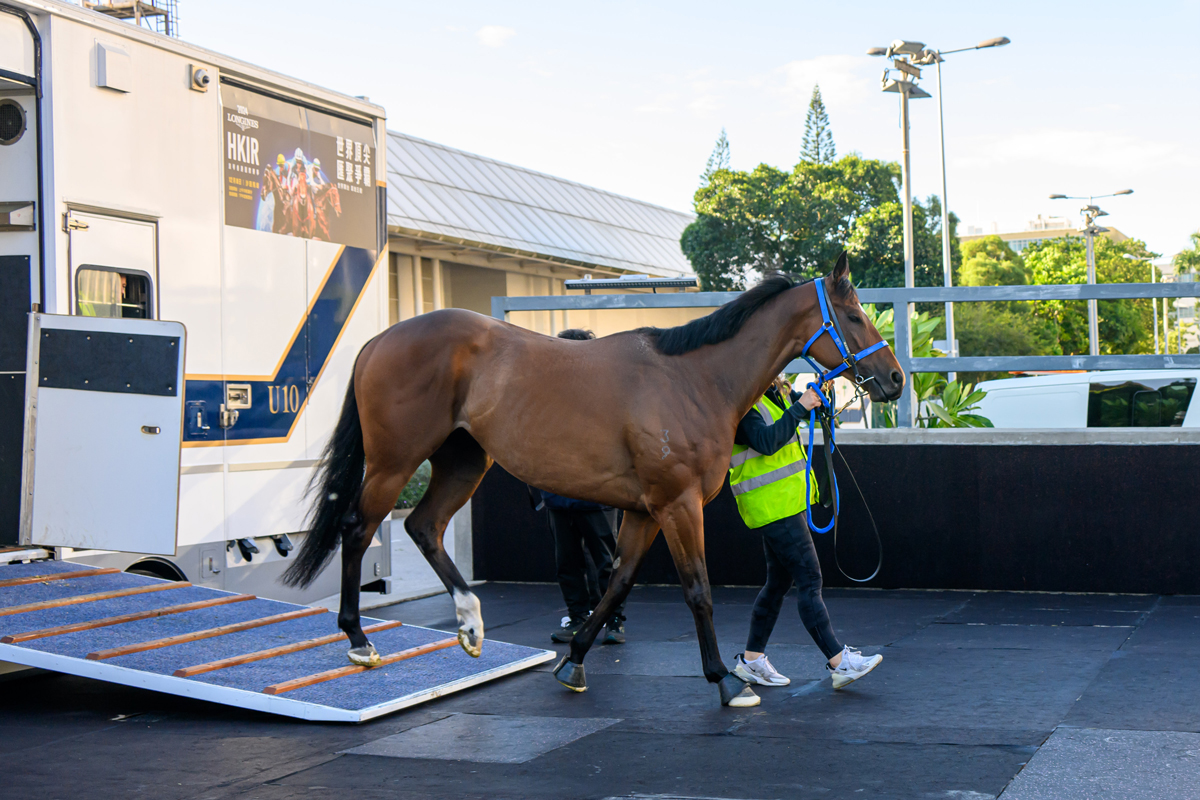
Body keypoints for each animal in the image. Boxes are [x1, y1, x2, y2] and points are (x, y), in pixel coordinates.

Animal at [280, 255, 902, 705]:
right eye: (853, 316)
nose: (895, 378)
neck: (696, 378)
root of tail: (378, 341)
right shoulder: (678, 505)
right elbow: (696, 589)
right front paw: (724, 681)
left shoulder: (645, 510)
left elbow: (617, 582)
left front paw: (574, 661)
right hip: (394, 461)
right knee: (358, 529)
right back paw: (359, 640)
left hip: (465, 461)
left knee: (425, 527)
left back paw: (470, 624)